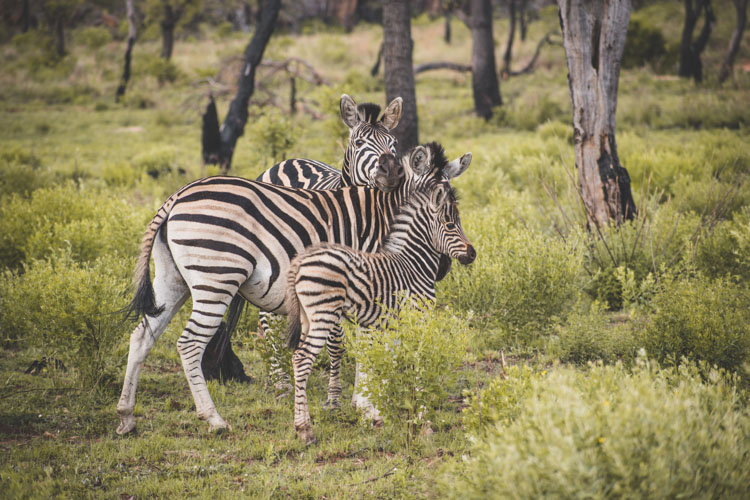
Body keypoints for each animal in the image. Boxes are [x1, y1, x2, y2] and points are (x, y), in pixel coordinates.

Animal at [284, 171, 478, 442]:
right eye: (451, 225)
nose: (472, 255)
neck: (414, 264)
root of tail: (301, 261)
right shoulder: (418, 317)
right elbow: (417, 361)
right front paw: (422, 419)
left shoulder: (392, 324)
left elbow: (390, 364)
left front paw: (385, 412)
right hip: (323, 314)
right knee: (303, 359)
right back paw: (305, 430)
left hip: (306, 317)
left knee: (296, 357)